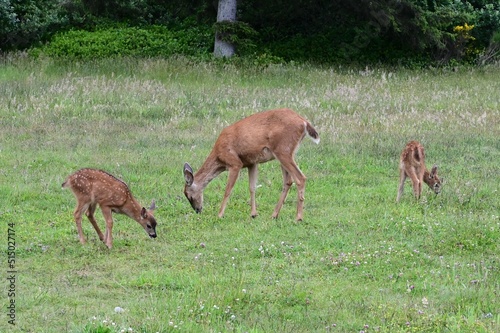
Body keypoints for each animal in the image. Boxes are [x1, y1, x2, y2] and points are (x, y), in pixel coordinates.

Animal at [184, 107, 320, 220]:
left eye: (188, 195)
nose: (197, 210)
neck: (218, 157)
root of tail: (304, 122)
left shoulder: (235, 163)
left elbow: (228, 189)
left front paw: (220, 214)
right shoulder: (251, 163)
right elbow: (252, 187)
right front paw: (254, 214)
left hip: (283, 150)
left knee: (300, 178)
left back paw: (298, 217)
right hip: (287, 153)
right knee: (288, 181)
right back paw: (274, 214)